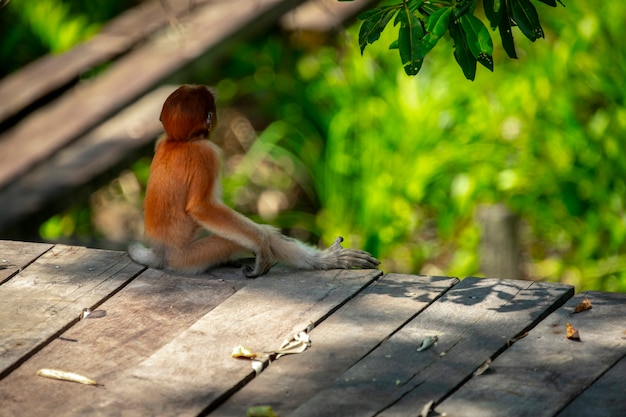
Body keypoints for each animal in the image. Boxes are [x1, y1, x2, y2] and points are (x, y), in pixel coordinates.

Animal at [128, 83, 376, 276]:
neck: (180, 142)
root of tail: (160, 254)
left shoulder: (162, 140)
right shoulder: (208, 152)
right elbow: (201, 207)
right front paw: (262, 245)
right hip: (189, 257)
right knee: (250, 237)